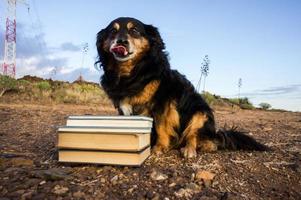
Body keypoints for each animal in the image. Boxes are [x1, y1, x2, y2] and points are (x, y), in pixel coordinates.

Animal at [94, 17, 268, 158]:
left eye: (134, 30)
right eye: (113, 31)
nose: (121, 41)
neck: (131, 73)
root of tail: (215, 134)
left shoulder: (163, 103)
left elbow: (161, 126)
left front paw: (159, 147)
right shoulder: (122, 105)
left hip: (200, 113)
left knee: (194, 136)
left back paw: (191, 149)